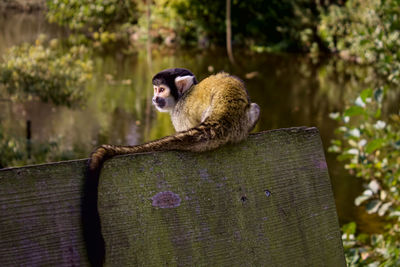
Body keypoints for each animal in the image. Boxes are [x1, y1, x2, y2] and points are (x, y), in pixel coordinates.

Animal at [83, 67, 260, 266]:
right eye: (155, 89)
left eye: (161, 90)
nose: (154, 98)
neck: (184, 94)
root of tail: (223, 116)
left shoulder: (180, 112)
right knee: (255, 108)